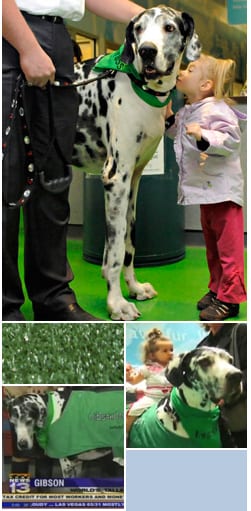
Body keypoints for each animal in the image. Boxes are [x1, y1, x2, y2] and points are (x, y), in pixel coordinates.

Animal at [72, 6, 202, 320]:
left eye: (169, 27)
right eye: (139, 29)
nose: (146, 51)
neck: (140, 87)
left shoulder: (133, 179)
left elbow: (129, 242)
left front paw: (134, 288)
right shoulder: (115, 178)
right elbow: (115, 250)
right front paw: (116, 303)